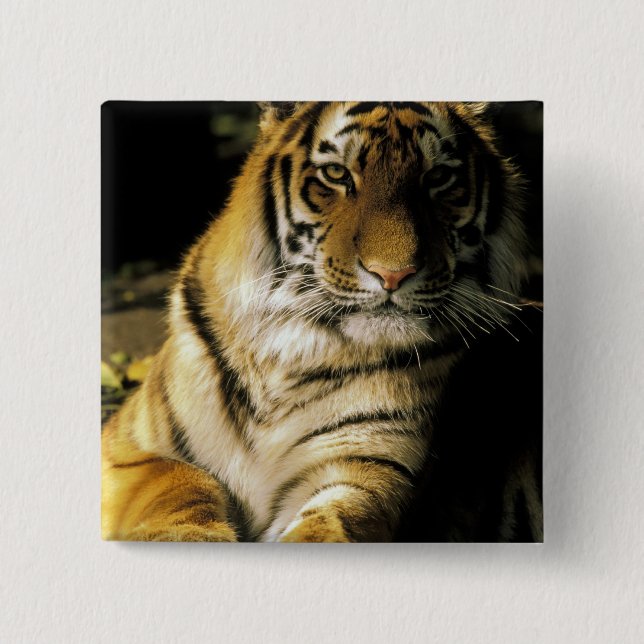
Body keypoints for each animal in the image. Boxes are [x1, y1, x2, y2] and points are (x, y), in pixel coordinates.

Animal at [102, 101, 529, 542]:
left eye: (439, 177)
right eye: (337, 174)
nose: (393, 274)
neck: (288, 351)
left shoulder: (367, 468)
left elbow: (327, 523)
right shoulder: (127, 449)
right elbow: (178, 478)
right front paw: (190, 535)